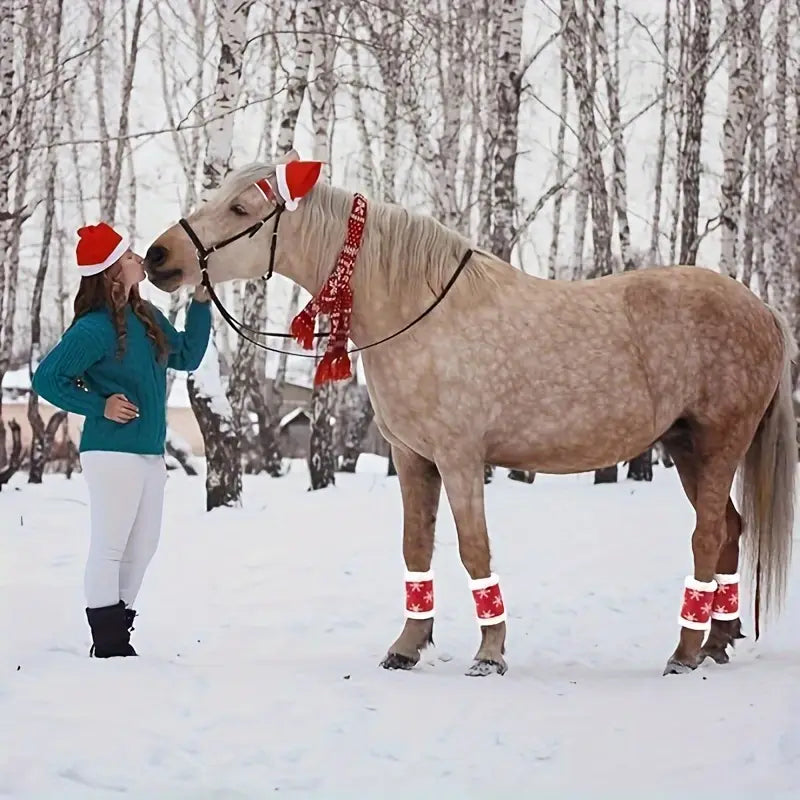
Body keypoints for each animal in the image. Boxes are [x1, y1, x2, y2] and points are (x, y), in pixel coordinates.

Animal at [142, 148, 792, 676]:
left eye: (240, 207)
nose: (158, 256)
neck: (417, 311)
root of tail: (763, 310)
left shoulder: (459, 459)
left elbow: (473, 548)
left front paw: (489, 654)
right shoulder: (412, 458)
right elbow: (416, 547)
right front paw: (406, 647)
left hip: (719, 442)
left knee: (709, 534)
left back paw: (684, 653)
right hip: (685, 447)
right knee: (730, 531)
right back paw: (716, 643)